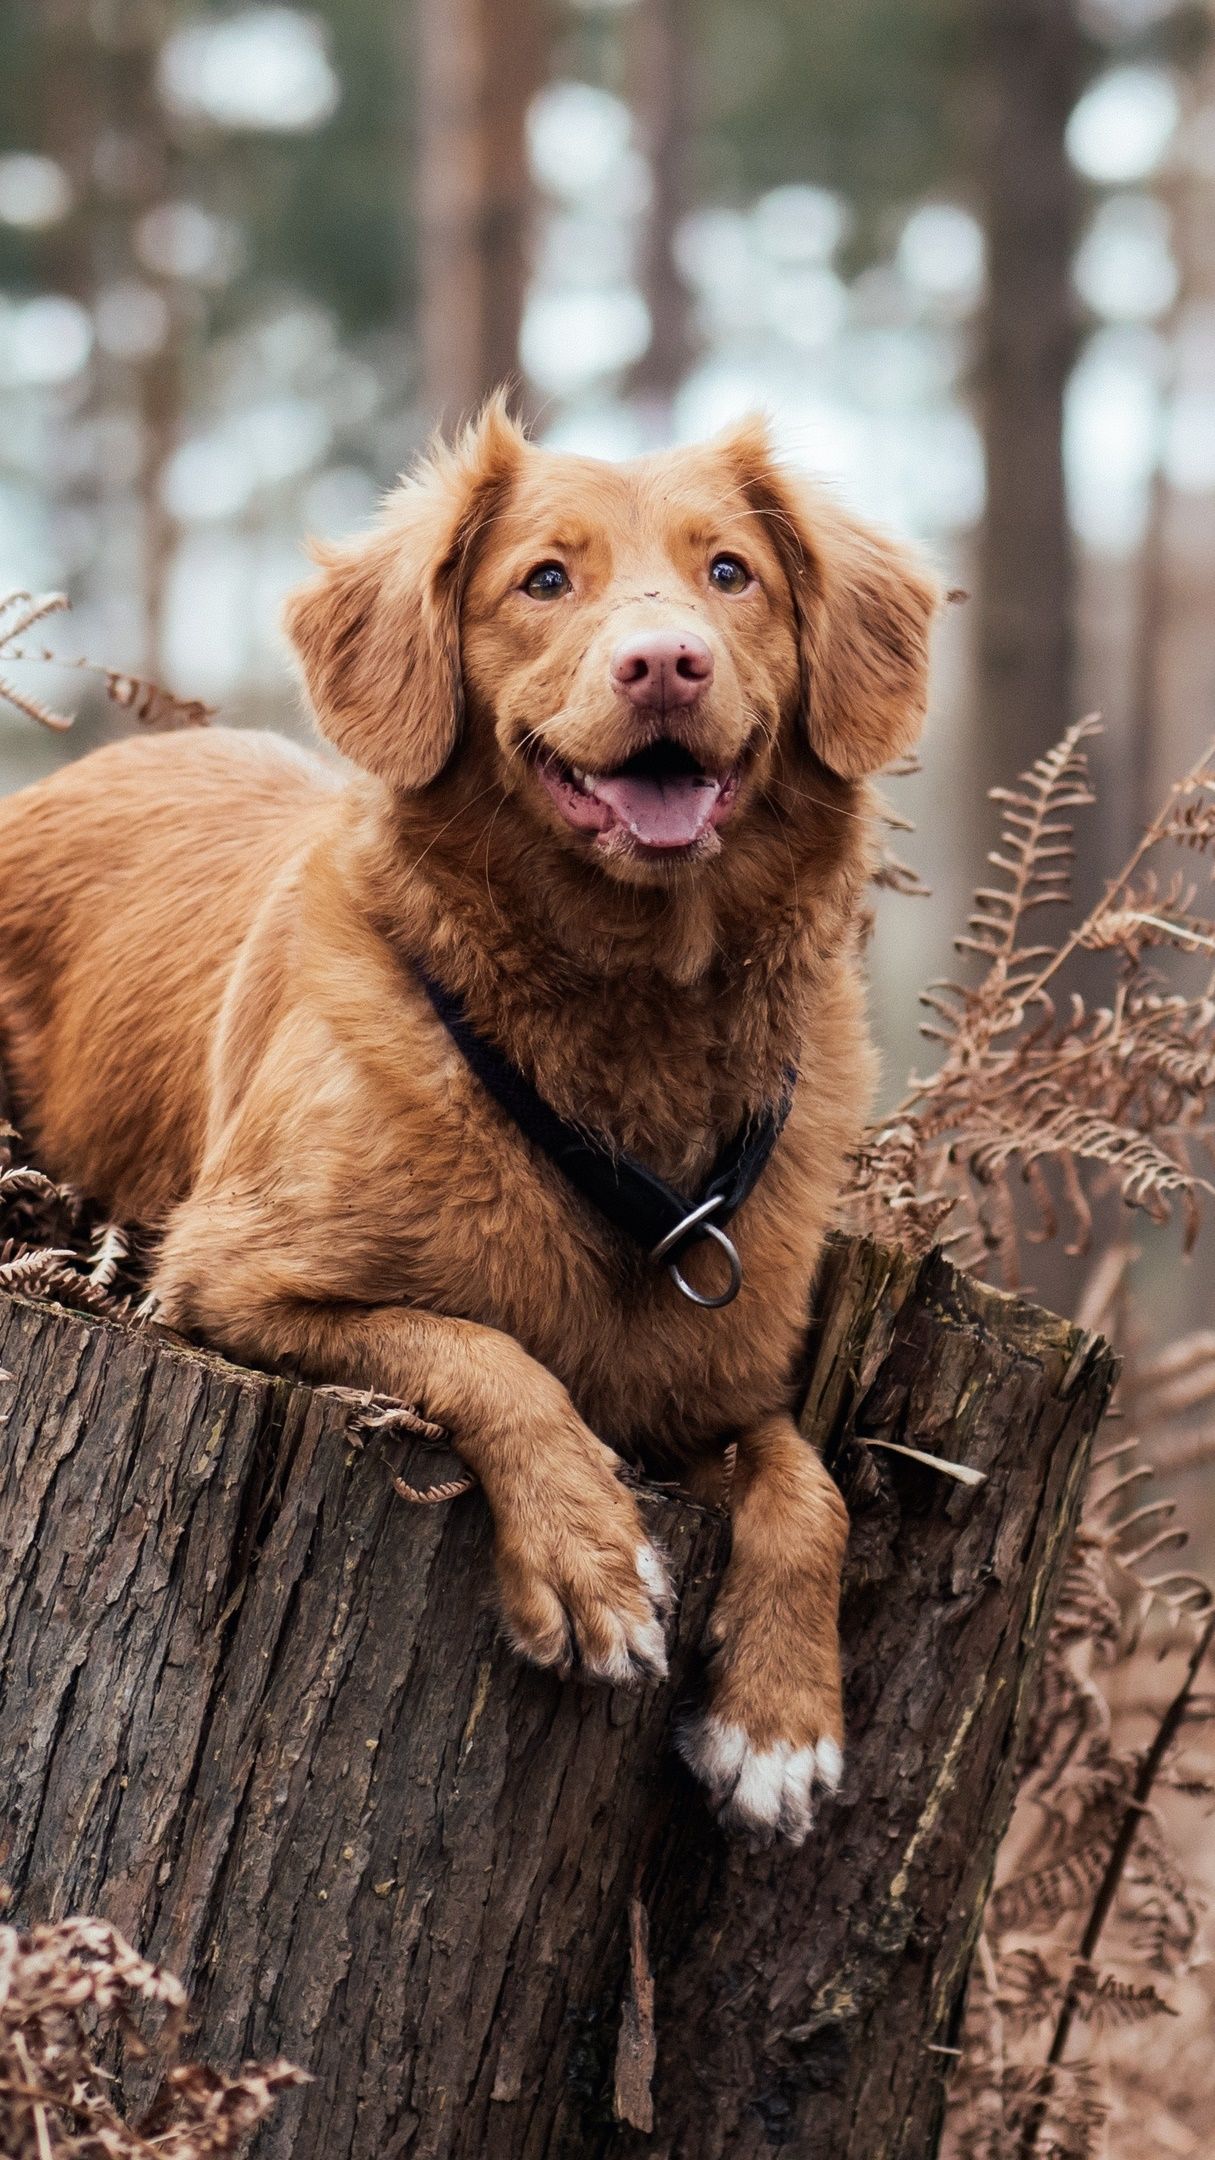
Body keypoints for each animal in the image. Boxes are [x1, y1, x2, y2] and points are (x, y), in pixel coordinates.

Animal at [0, 401, 938, 1840]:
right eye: (543, 580)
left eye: (730, 573)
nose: (663, 663)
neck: (624, 1019)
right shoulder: (224, 1278)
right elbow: (486, 1350)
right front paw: (588, 1555)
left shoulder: (715, 1389)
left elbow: (809, 1483)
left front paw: (780, 1720)